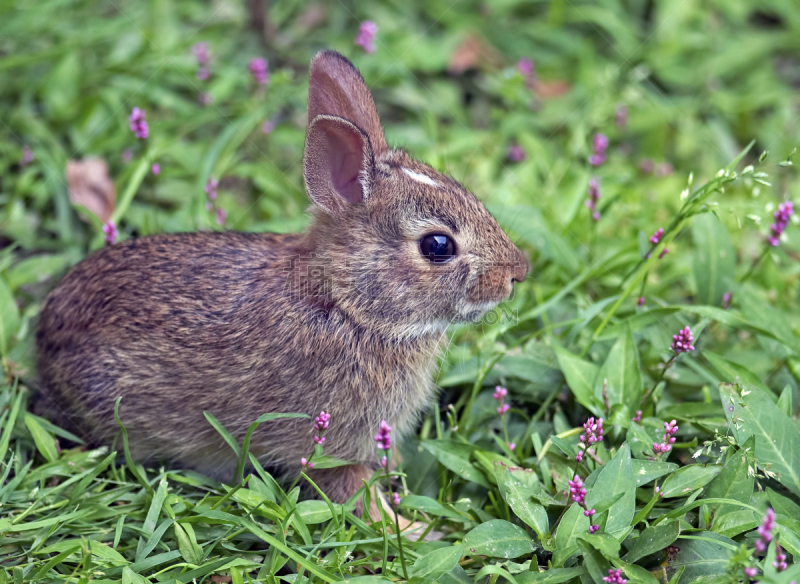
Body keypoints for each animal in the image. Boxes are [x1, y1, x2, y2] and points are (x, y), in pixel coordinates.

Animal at [37, 49, 528, 516]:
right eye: (438, 246)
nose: (516, 273)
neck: (345, 306)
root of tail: (43, 340)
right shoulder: (329, 440)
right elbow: (350, 488)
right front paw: (410, 528)